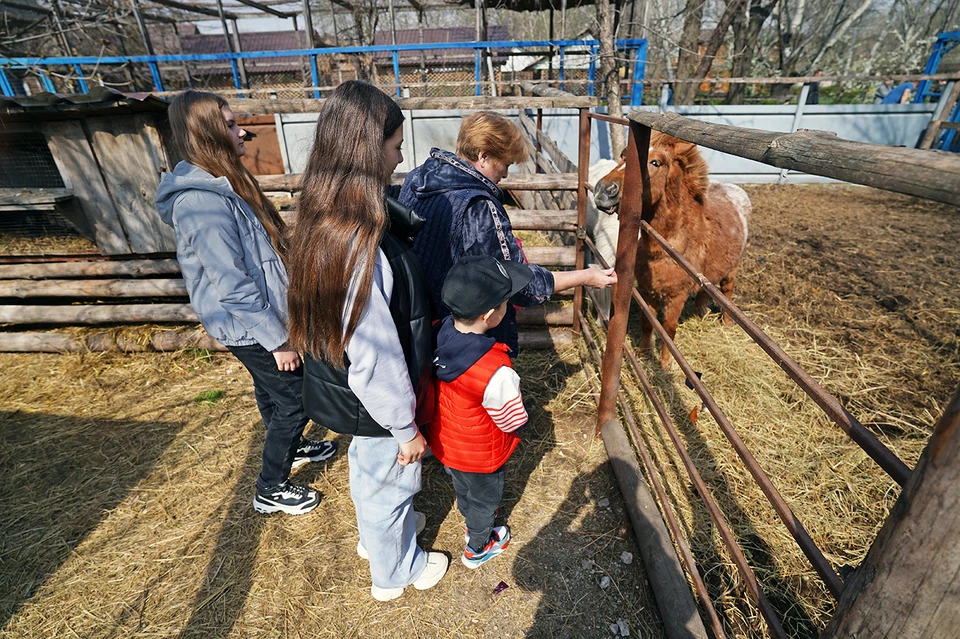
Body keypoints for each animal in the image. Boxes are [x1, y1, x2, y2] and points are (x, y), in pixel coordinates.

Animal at [592, 132, 752, 368]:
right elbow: (648, 323)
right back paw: (701, 314)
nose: (603, 191)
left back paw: (726, 323)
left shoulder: (676, 297)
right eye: (623, 154)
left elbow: (668, 330)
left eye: (656, 163)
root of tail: (737, 192)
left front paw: (665, 364)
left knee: (727, 291)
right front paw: (644, 354)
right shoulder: (648, 290)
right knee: (704, 292)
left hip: (732, 270)